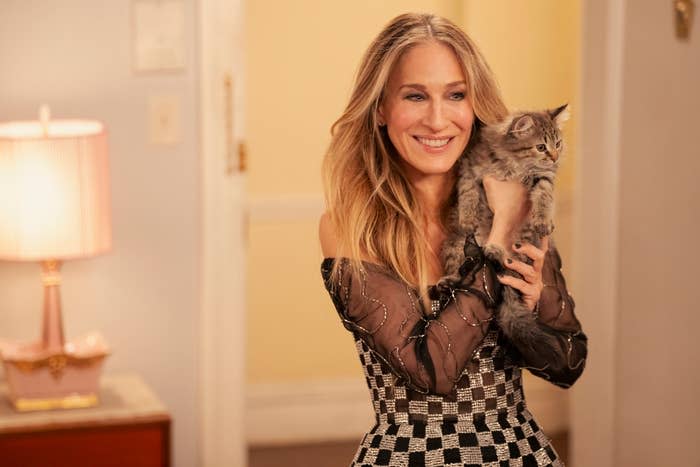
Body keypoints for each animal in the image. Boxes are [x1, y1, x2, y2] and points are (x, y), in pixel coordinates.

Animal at [442, 105, 568, 370]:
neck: (513, 163)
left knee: (507, 264)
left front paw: (543, 220)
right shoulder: (470, 168)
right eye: (541, 147)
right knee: (461, 270)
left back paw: (495, 252)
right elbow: (467, 192)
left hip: (522, 246)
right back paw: (450, 278)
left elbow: (544, 194)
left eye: (558, 144)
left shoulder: (543, 177)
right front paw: (467, 216)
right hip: (456, 244)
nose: (554, 158)